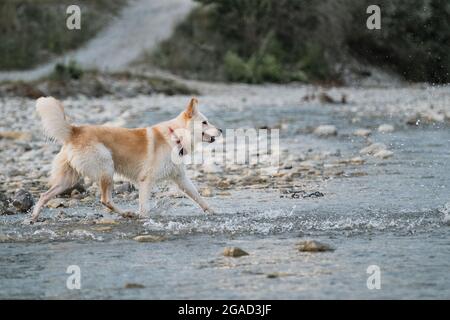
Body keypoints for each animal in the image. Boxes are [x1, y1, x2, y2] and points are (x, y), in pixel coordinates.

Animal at [29, 96, 222, 224]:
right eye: (205, 122)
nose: (220, 130)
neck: (176, 136)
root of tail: (74, 130)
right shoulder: (146, 180)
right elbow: (144, 207)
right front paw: (145, 218)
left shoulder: (180, 178)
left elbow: (197, 196)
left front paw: (213, 211)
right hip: (107, 168)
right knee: (105, 200)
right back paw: (127, 214)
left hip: (68, 180)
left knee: (44, 195)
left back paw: (33, 217)